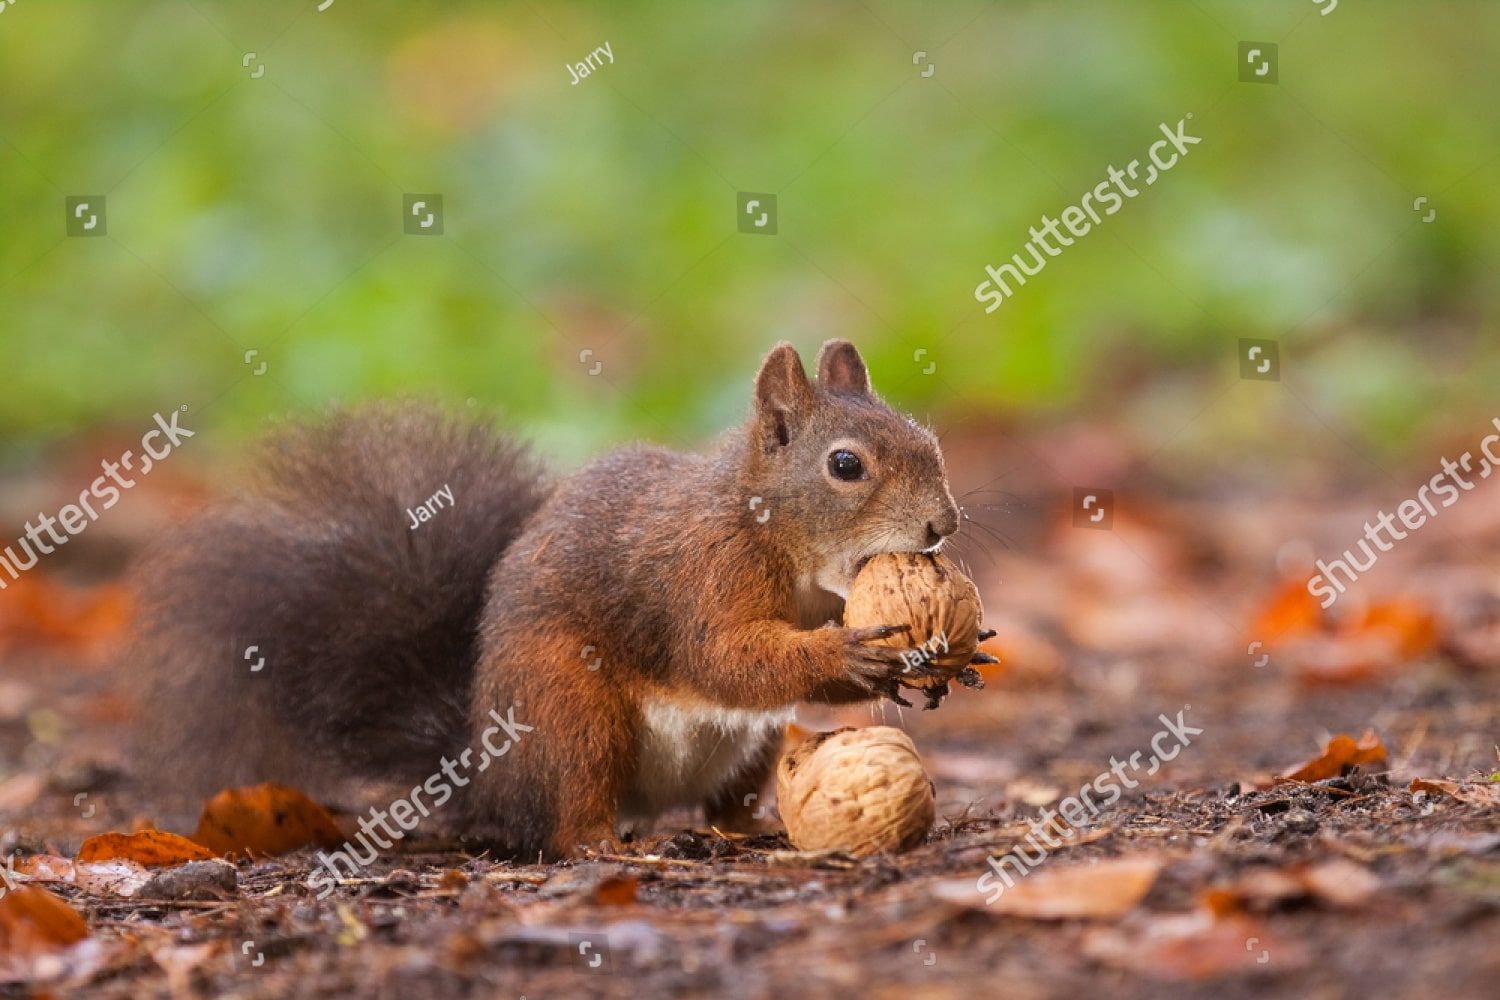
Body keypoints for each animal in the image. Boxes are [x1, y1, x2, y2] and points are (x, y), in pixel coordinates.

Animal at [130, 340, 981, 860]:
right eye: (845, 465)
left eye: (928, 440)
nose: (943, 524)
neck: (776, 538)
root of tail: (488, 777)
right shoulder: (701, 575)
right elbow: (725, 657)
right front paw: (850, 651)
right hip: (570, 711)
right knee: (570, 817)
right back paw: (614, 844)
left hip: (751, 746)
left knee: (723, 802)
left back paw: (751, 825)